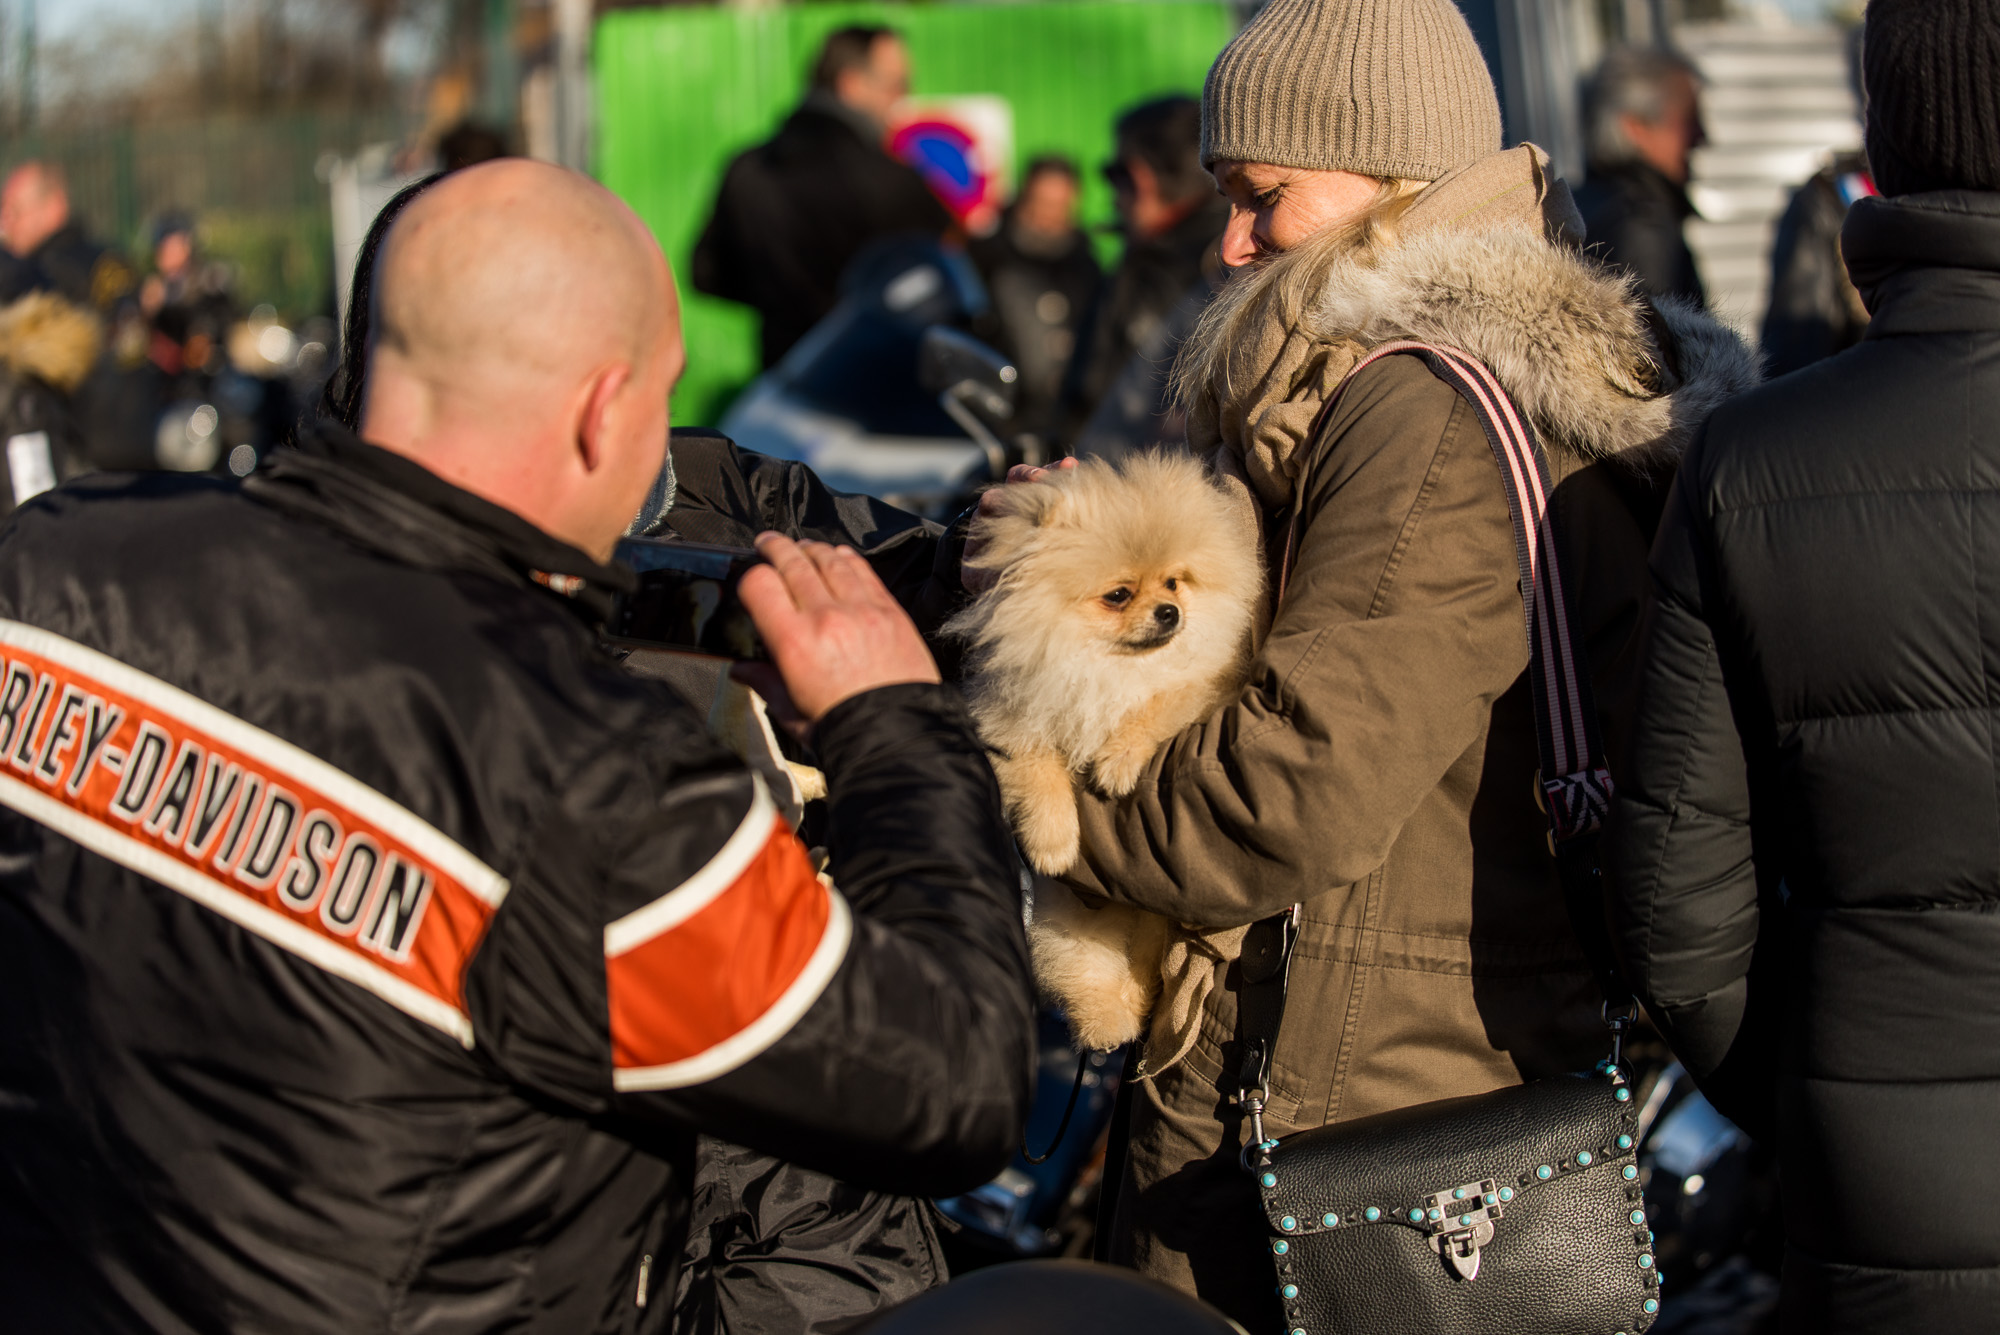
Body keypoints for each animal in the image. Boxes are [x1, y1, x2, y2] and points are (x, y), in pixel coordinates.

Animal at [944, 453, 1256, 1047]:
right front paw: (1051, 844)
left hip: (1155, 925)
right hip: (1075, 932)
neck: (1107, 667)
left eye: (1174, 582)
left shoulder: (1199, 689)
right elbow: (1039, 774)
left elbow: (1152, 709)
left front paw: (1115, 763)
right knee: (1089, 974)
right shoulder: (1010, 716)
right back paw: (1109, 1019)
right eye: (1118, 595)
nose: (1169, 612)